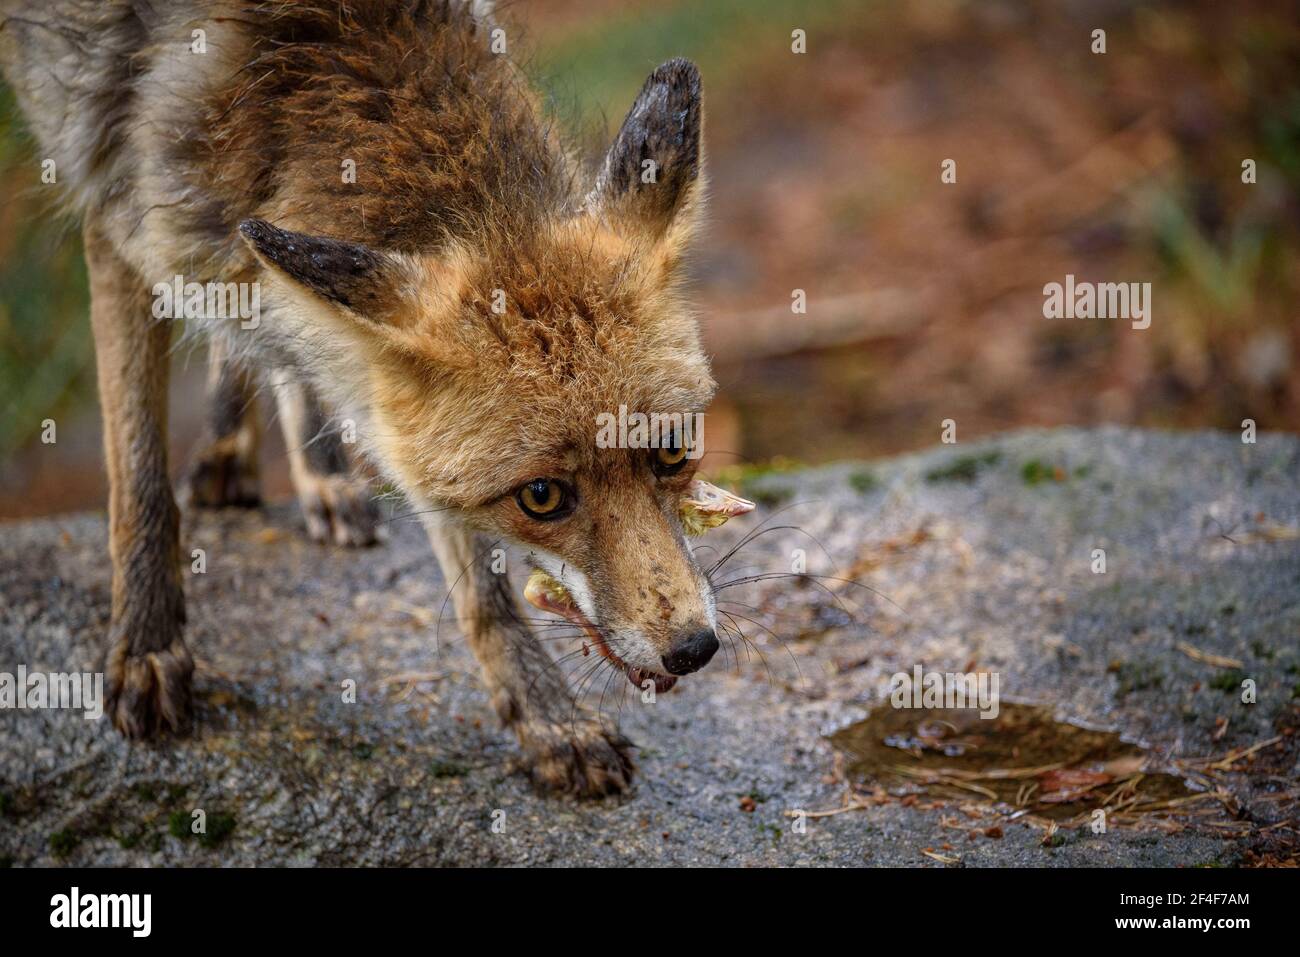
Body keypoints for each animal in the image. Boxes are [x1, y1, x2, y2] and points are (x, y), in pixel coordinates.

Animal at [0, 0, 754, 795]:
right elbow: (139, 486)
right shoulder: (114, 216)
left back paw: (298, 463)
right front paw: (146, 647)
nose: (693, 648)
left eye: (671, 451)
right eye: (542, 497)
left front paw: (545, 718)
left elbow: (479, 590)